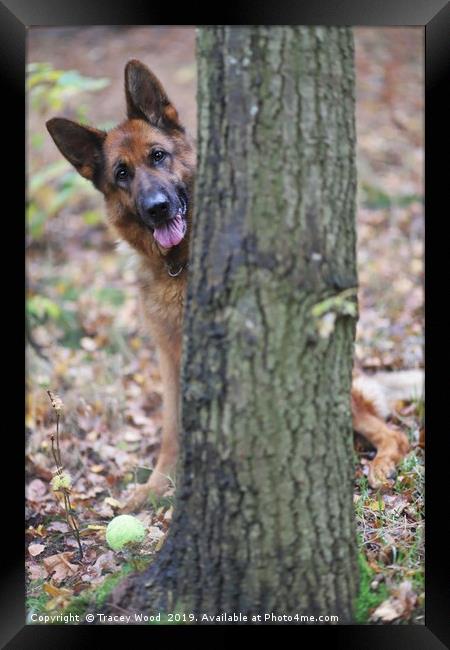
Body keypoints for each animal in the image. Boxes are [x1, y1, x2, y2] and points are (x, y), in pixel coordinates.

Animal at [47, 58, 410, 508]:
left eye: (158, 156)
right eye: (122, 174)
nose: (157, 208)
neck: (179, 266)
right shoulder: (169, 359)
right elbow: (171, 431)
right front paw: (157, 487)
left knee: (391, 433)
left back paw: (381, 465)